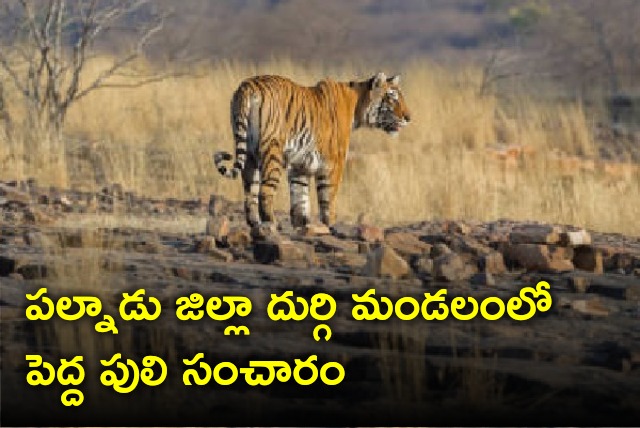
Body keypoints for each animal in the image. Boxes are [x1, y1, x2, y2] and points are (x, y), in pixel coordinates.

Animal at [214, 72, 411, 233]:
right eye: (392, 98)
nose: (408, 118)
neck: (358, 105)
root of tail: (247, 86)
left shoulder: (299, 166)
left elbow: (300, 199)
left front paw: (303, 225)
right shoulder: (334, 163)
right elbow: (328, 200)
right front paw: (330, 226)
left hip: (250, 154)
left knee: (250, 194)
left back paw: (255, 224)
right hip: (272, 151)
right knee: (265, 192)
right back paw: (271, 224)